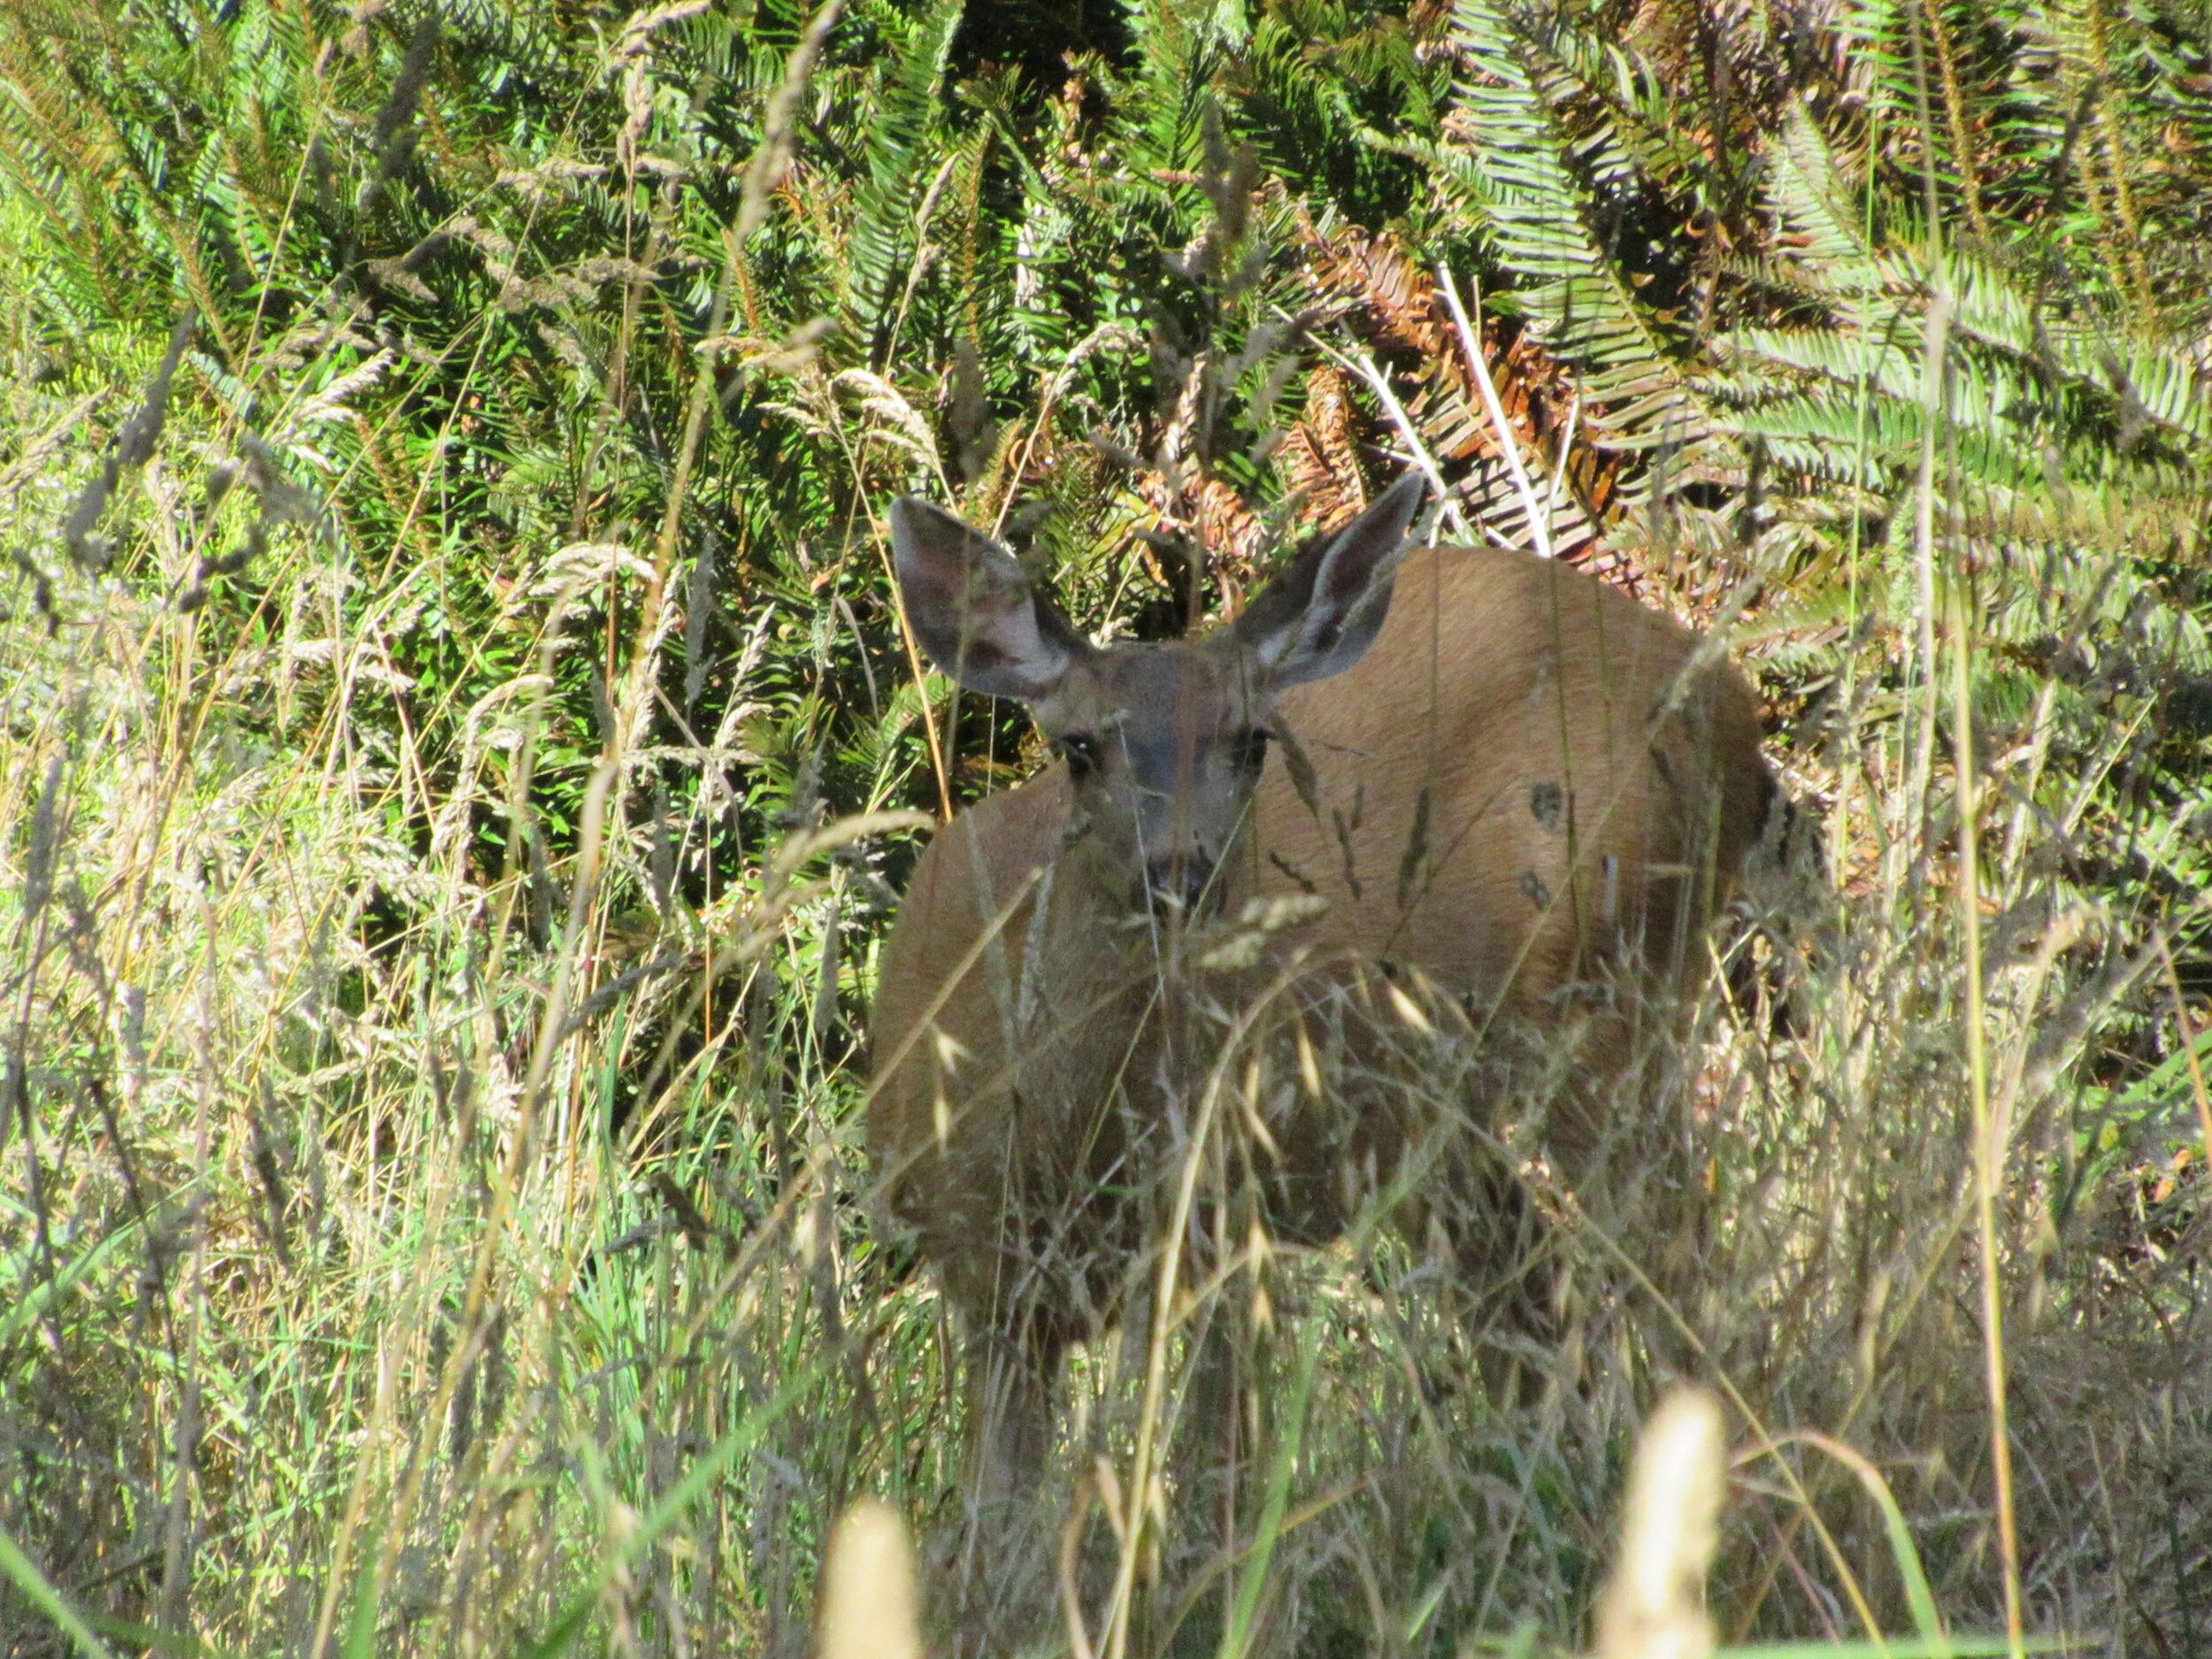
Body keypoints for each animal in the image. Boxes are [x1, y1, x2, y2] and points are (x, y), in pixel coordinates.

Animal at [867, 475, 1774, 1525]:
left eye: (1252, 740)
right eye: (1081, 747)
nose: (1183, 875)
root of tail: (1731, 698)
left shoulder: (1221, 1221)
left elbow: (1213, 1479)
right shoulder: (984, 1272)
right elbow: (994, 1514)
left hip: (1611, 991)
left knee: (1679, 1274)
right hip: (1447, 1112)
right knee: (1532, 1292)